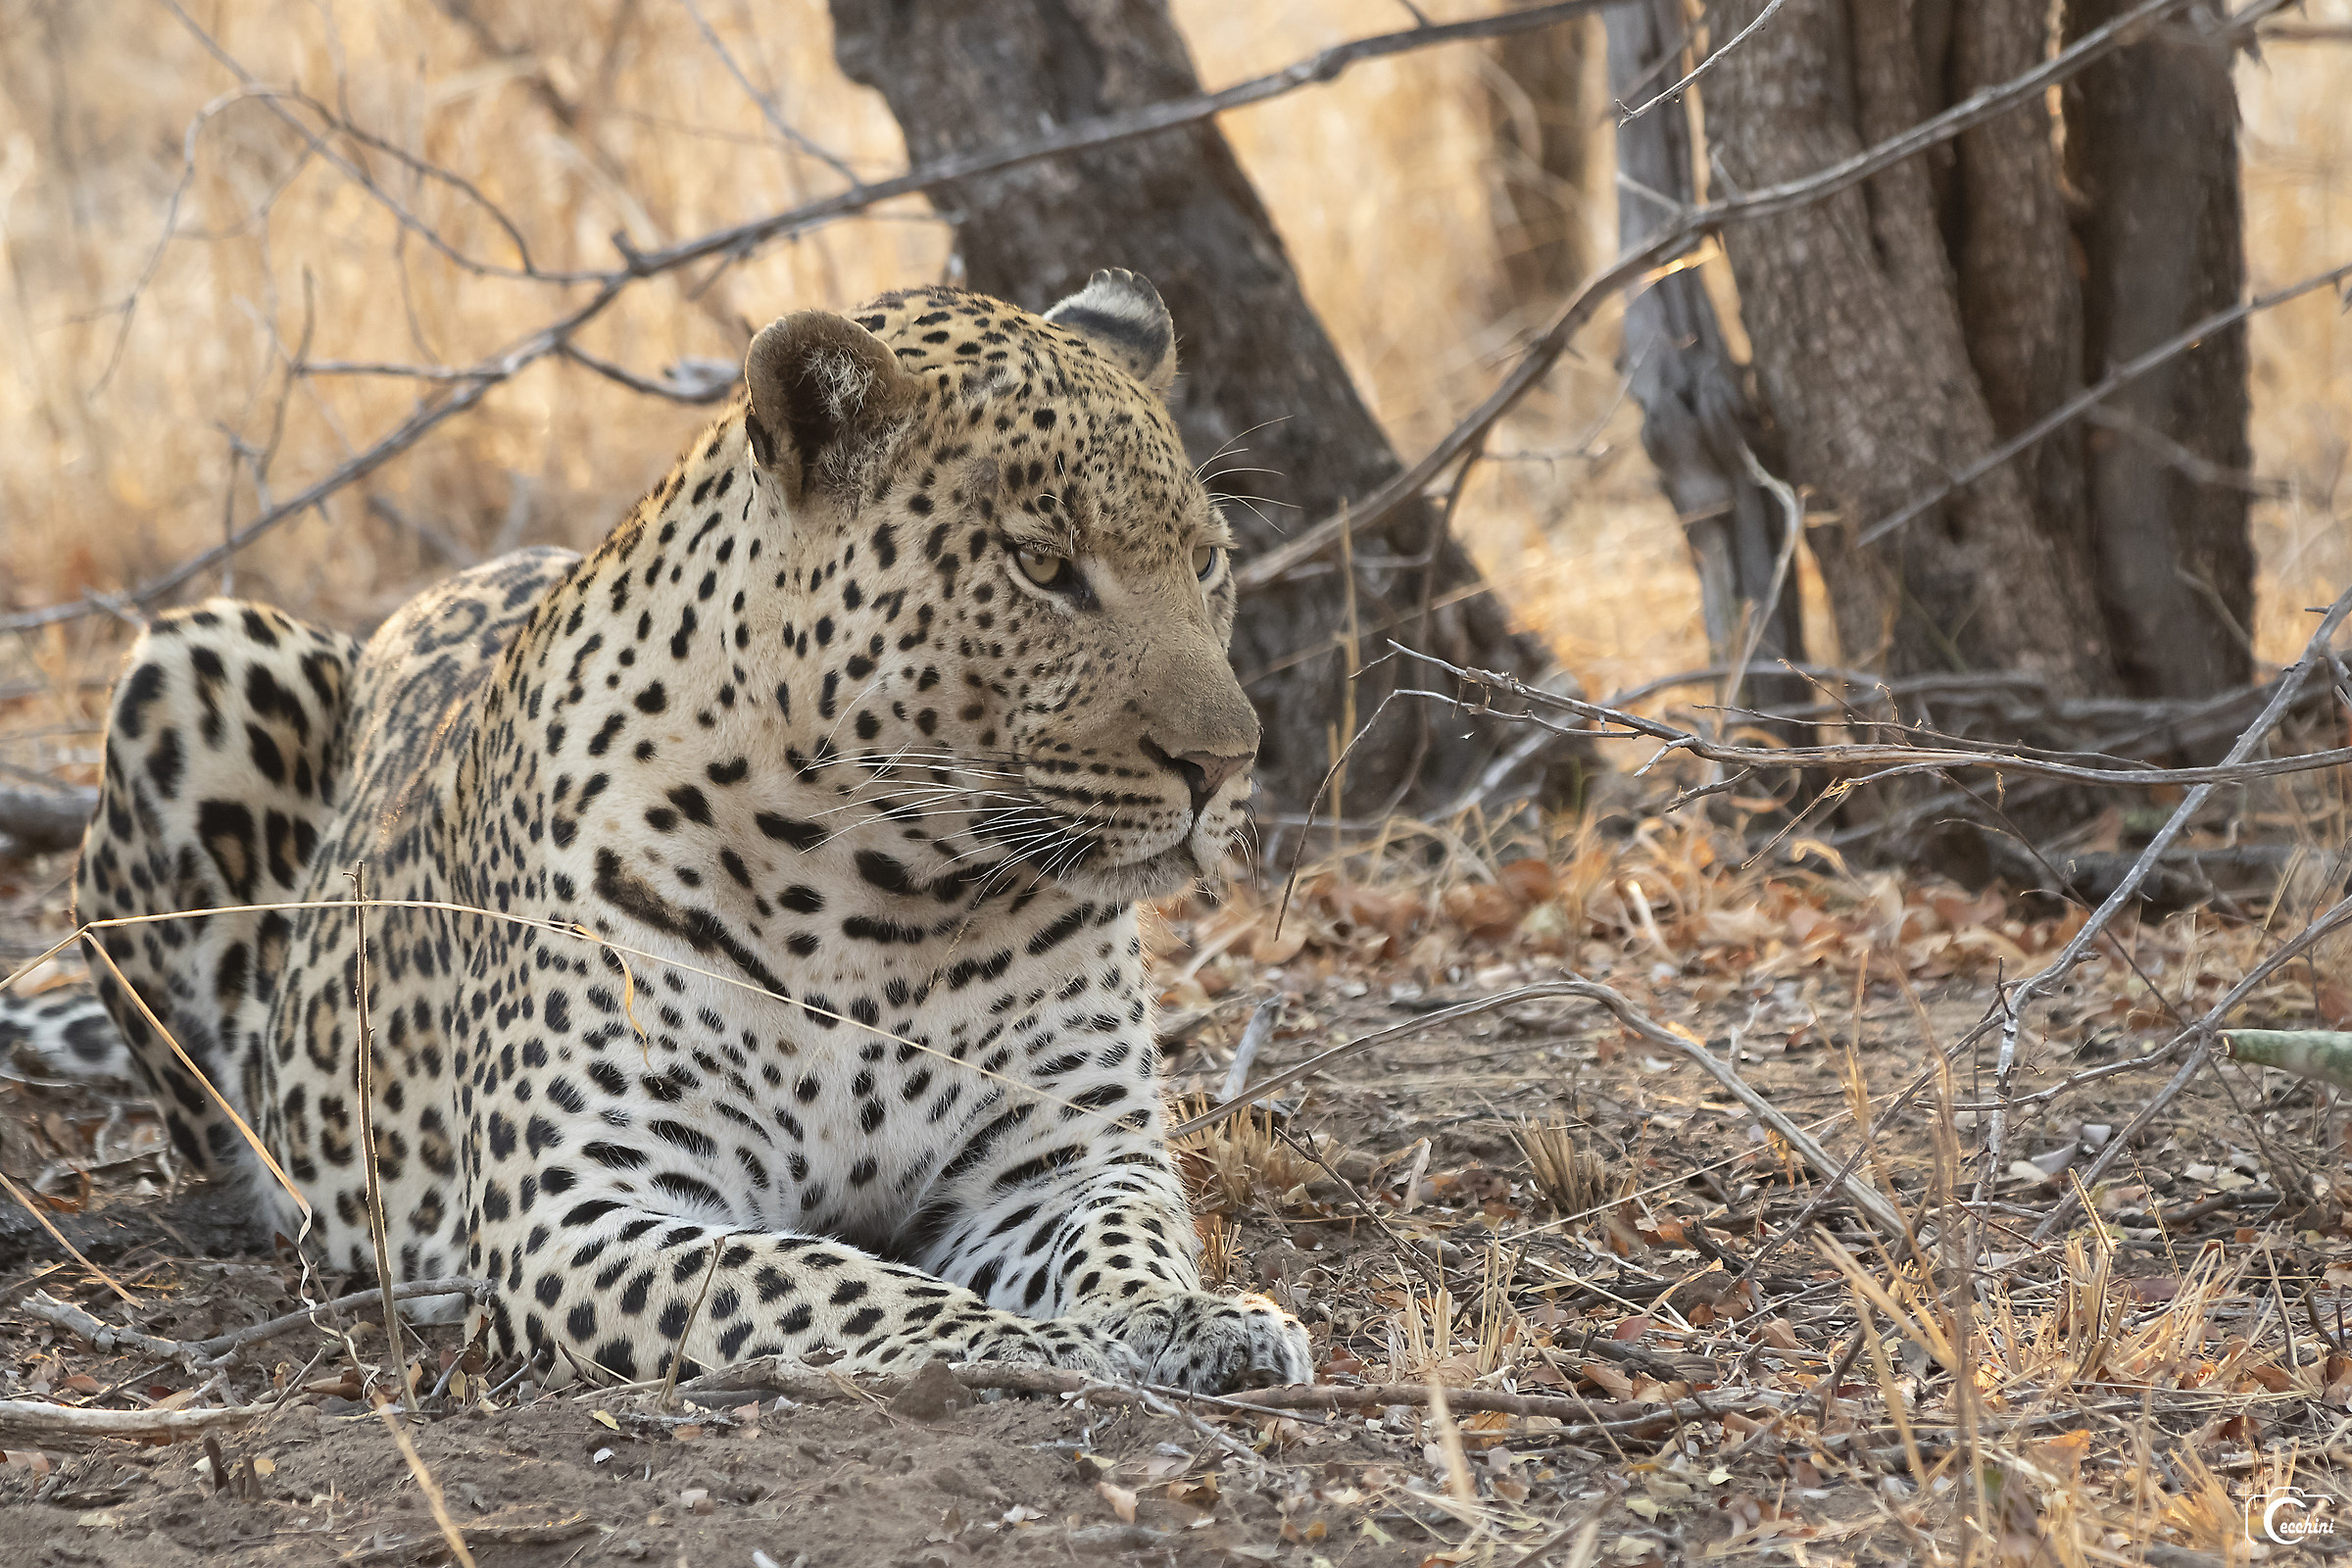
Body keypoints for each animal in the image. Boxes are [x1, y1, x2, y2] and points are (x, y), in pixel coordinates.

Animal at [6, 270, 1313, 1393]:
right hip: (195, 657)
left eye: (1208, 561)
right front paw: (1027, 1346)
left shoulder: (1064, 1150)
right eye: (1043, 565)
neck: (890, 895)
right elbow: (816, 1279)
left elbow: (1126, 1237)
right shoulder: (579, 1205)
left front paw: (1187, 1319)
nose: (1226, 764)